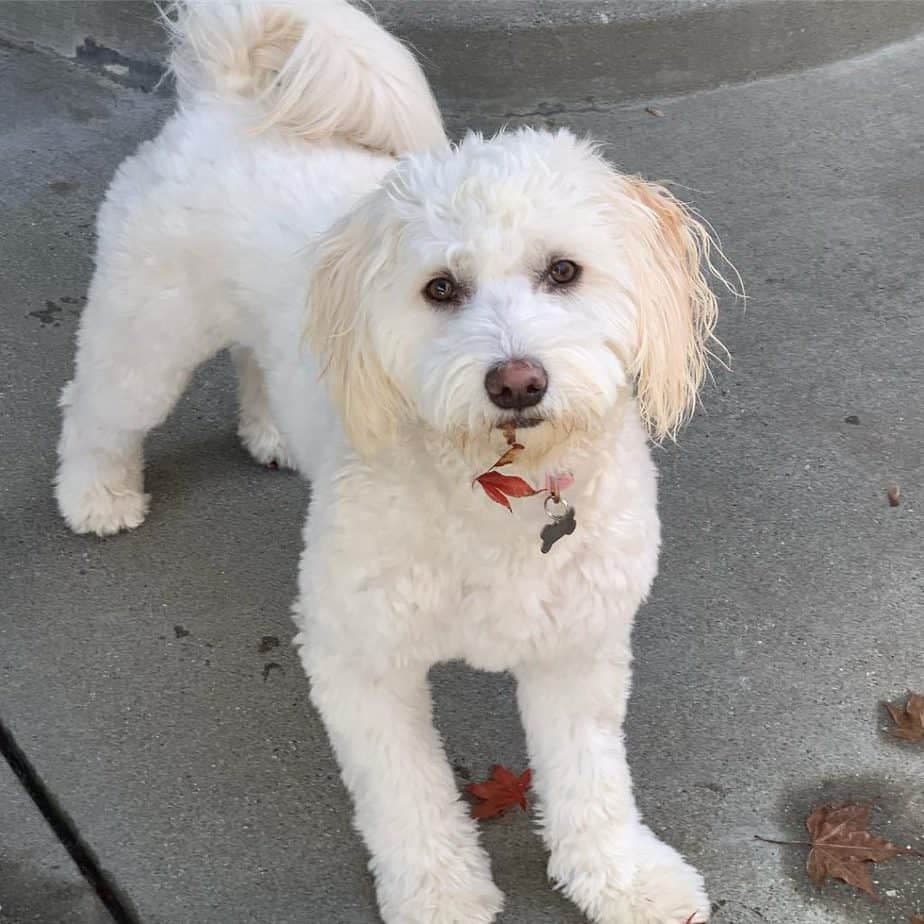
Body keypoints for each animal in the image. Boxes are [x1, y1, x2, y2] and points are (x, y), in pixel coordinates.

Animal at [56, 3, 728, 920]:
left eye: (564, 271)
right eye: (440, 288)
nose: (517, 380)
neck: (497, 494)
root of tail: (226, 99)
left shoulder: (578, 649)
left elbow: (591, 781)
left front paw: (625, 879)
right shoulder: (358, 656)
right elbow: (405, 794)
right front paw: (440, 890)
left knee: (254, 358)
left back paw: (269, 431)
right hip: (145, 332)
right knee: (95, 406)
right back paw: (95, 492)